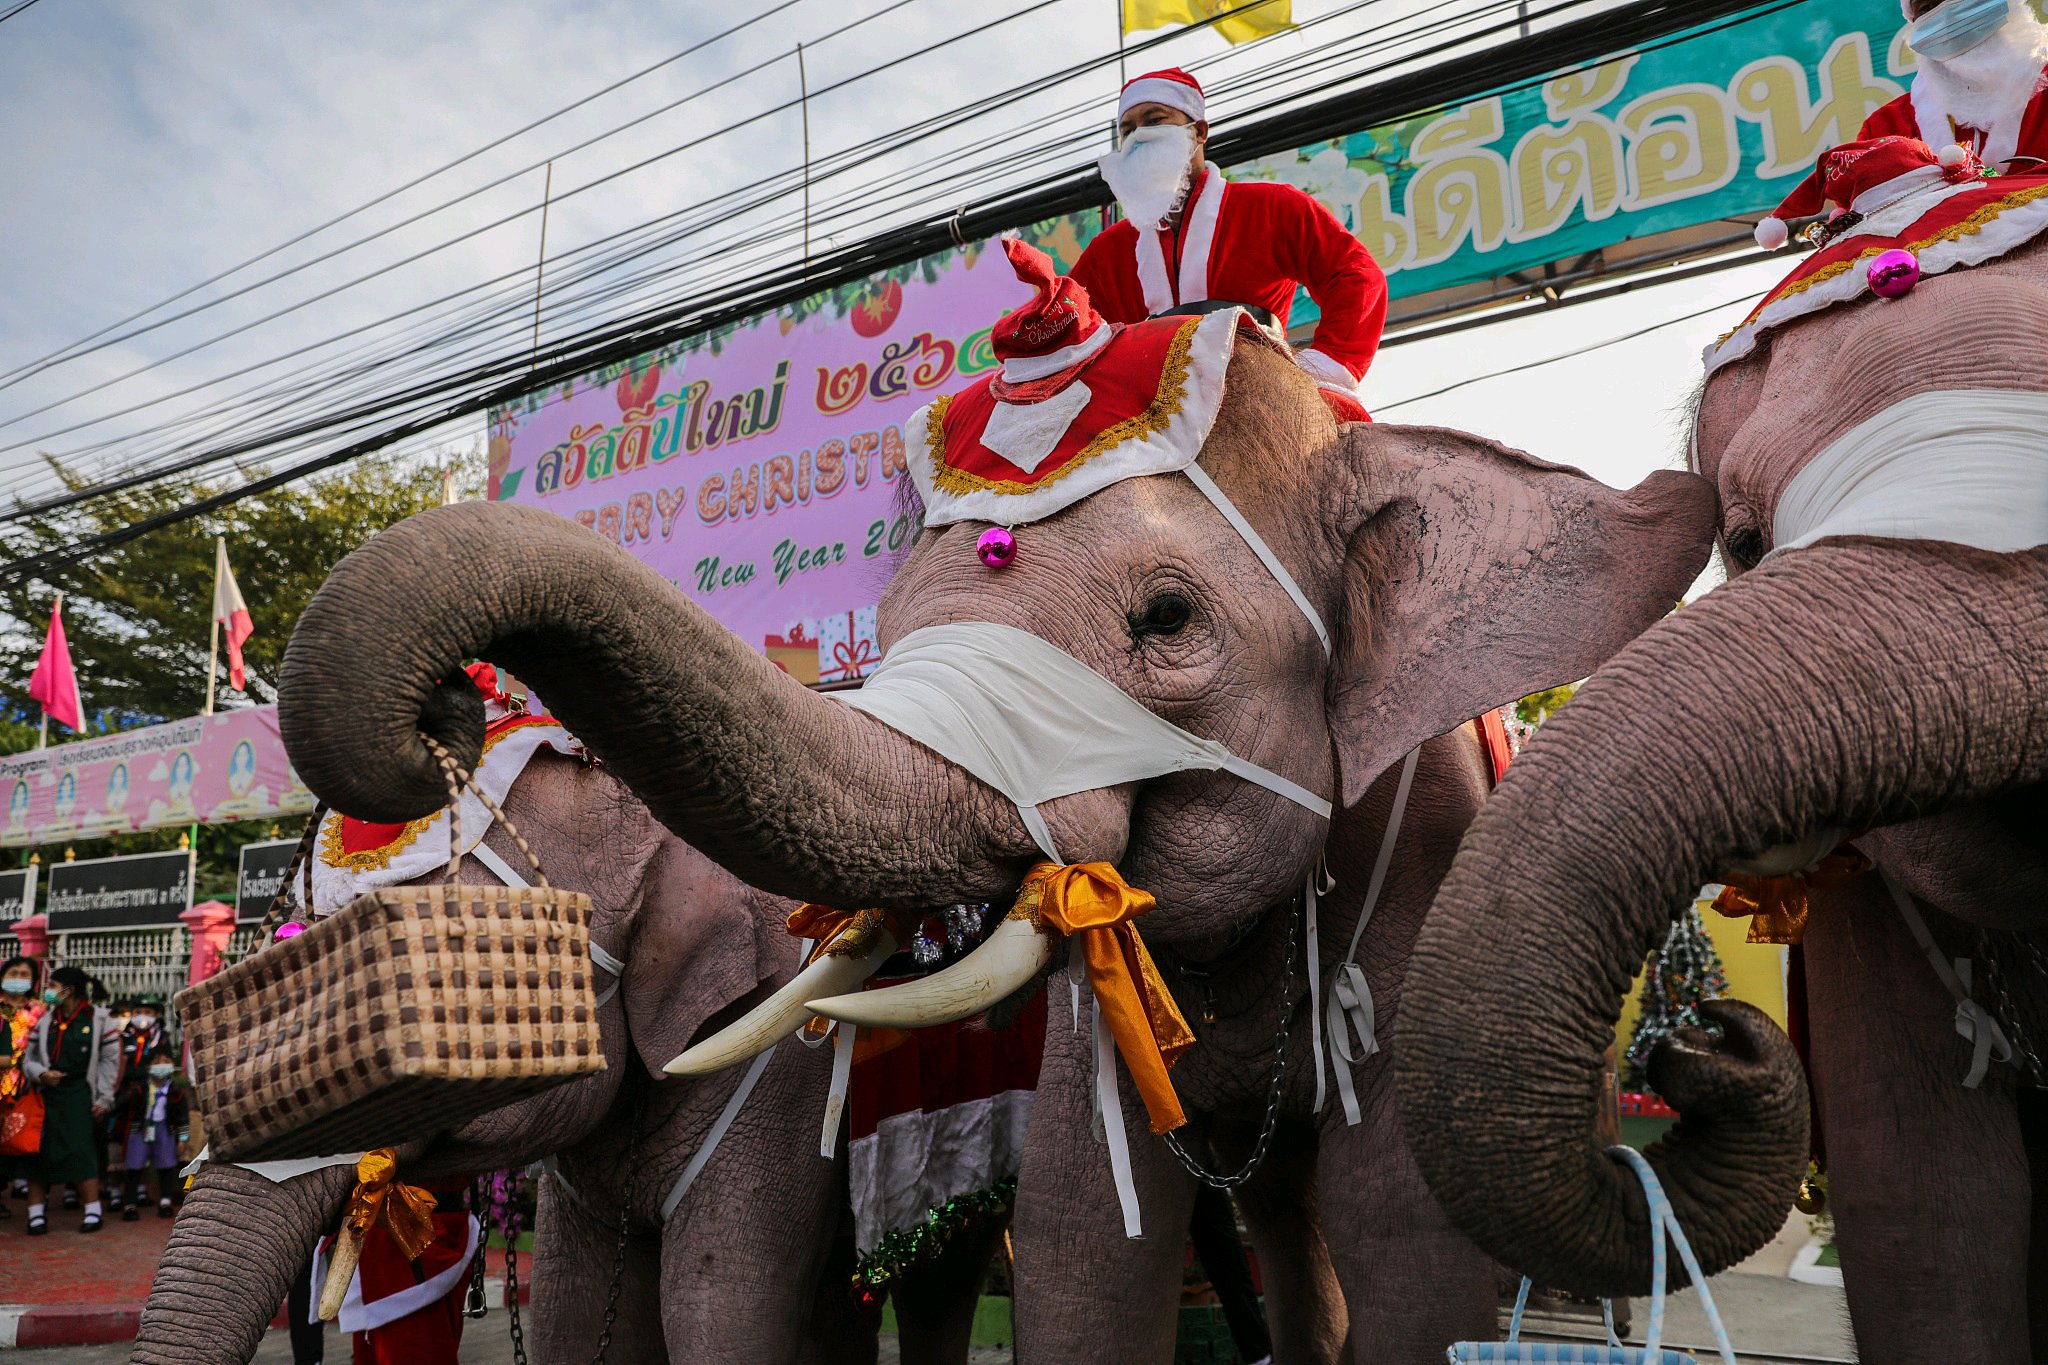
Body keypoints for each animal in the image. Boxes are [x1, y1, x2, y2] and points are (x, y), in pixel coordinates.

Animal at [272, 298, 1712, 1358]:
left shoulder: (1430, 849)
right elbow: (1081, 1243)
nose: (444, 711)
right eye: (893, 619)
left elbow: (1410, 1245)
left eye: (1167, 619)